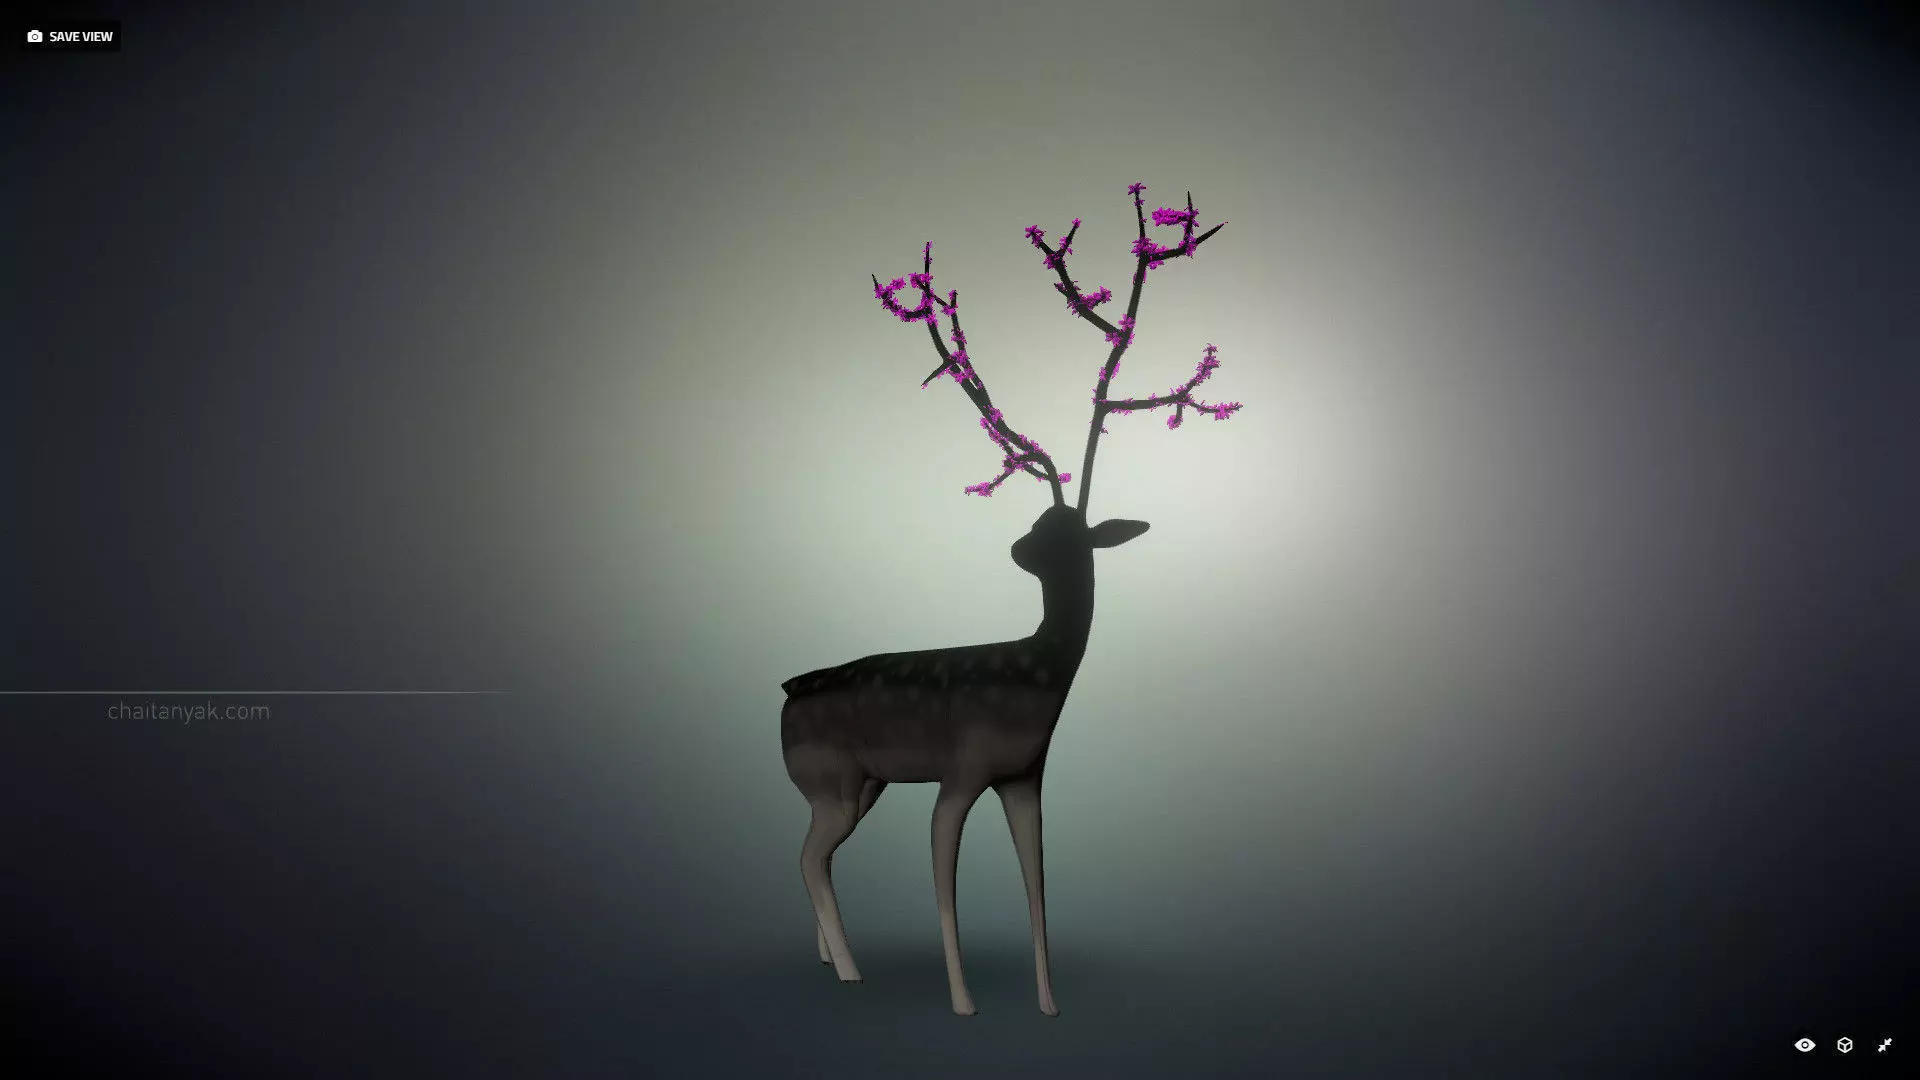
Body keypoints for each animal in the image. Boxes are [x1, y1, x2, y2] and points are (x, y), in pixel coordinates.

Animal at [779, 182, 1241, 1017]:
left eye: (1066, 533)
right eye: (1036, 524)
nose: (1019, 549)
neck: (1038, 677)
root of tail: (783, 691)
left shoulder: (1026, 775)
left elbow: (1039, 881)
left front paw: (1049, 1004)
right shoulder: (962, 770)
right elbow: (945, 881)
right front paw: (964, 1004)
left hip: (858, 784)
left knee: (812, 858)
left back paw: (832, 960)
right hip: (831, 781)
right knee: (808, 858)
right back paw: (852, 969)